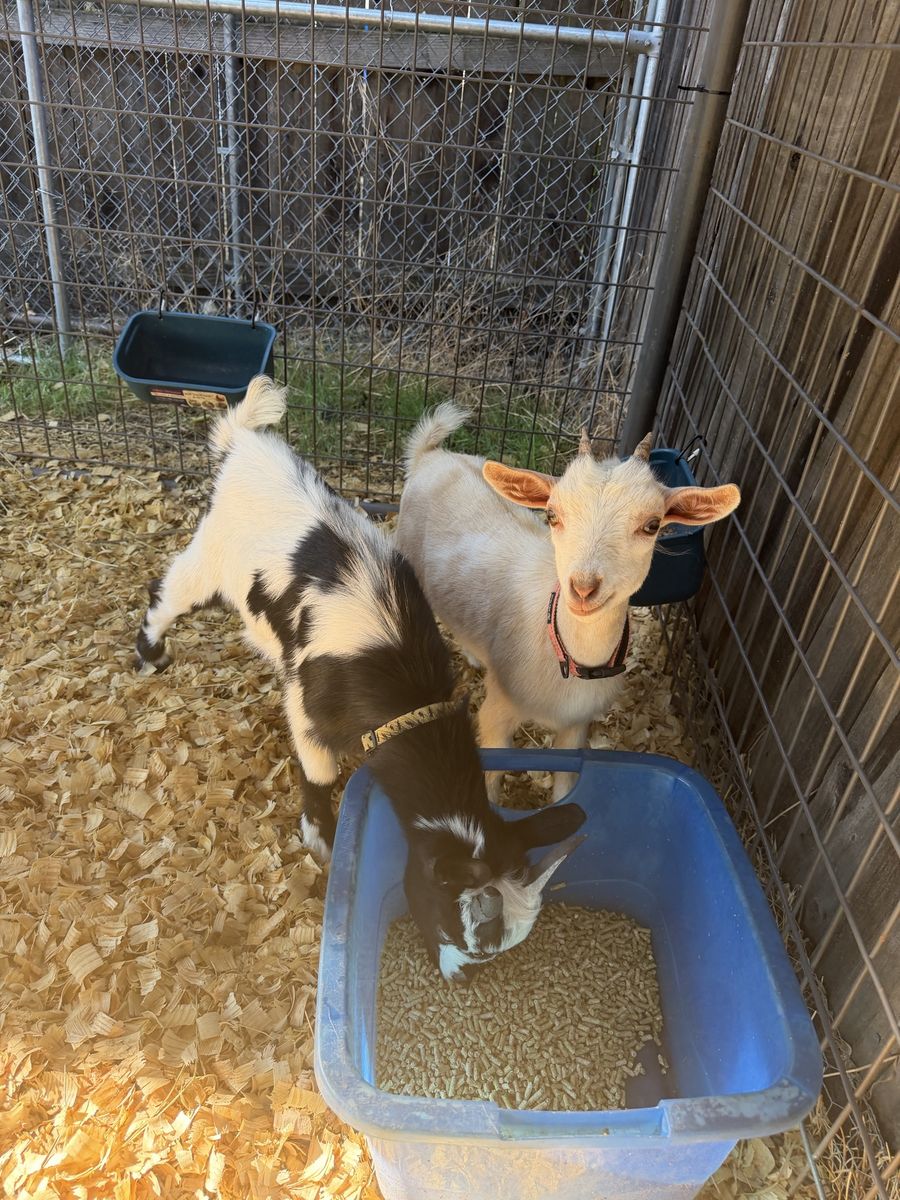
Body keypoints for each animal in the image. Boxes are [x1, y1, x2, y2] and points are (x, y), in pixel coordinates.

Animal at [134, 377, 586, 980]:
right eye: (454, 919)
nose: (461, 974)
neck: (399, 681)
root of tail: (245, 443)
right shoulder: (307, 709)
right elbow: (319, 773)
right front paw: (320, 838)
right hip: (208, 560)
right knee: (165, 593)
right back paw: (149, 654)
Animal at [395, 404, 741, 800]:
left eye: (652, 525)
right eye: (552, 515)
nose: (584, 588)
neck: (560, 649)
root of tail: (431, 455)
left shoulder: (575, 727)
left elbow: (565, 788)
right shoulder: (496, 714)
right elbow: (491, 780)